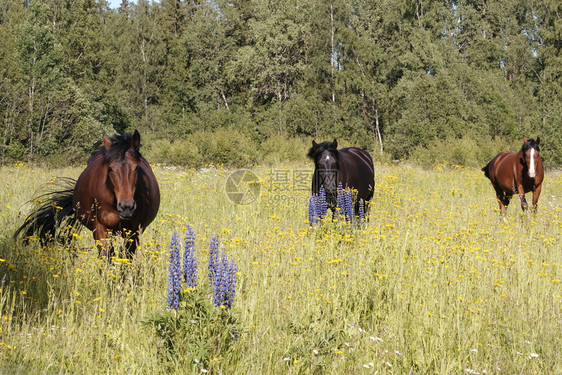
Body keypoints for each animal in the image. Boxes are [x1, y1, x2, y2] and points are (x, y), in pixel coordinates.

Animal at [14, 131, 160, 258]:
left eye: (136, 167)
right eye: (110, 168)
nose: (126, 207)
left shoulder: (134, 232)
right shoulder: (99, 228)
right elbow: (106, 257)